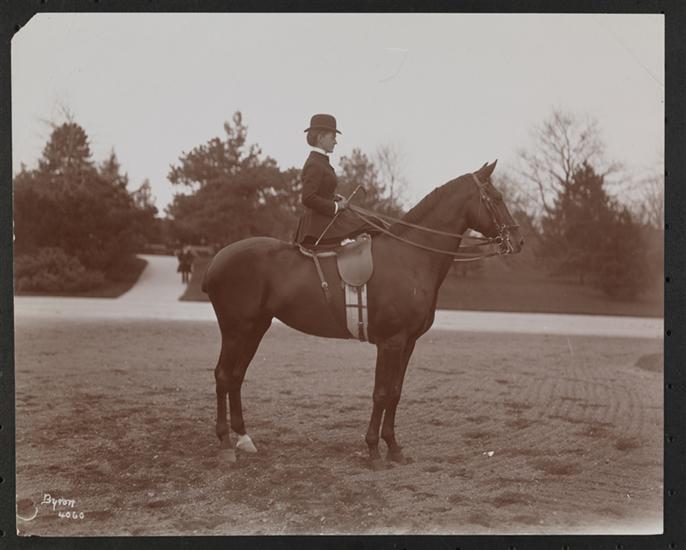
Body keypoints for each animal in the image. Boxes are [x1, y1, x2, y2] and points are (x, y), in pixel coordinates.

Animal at [202, 161, 524, 468]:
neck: (409, 258)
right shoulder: (391, 342)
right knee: (223, 376)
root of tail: (218, 259)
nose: (518, 241)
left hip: (256, 328)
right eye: (496, 197)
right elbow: (381, 393)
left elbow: (395, 392)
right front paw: (373, 450)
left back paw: (244, 438)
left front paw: (393, 448)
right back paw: (225, 445)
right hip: (235, 330)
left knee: (236, 376)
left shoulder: (407, 343)